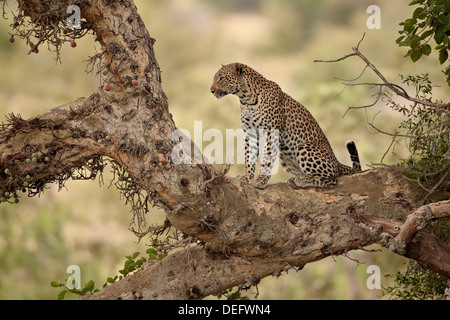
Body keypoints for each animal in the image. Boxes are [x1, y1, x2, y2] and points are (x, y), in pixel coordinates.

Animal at [211, 61, 362, 189]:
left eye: (221, 78)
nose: (211, 90)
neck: (246, 99)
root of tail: (337, 162)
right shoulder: (250, 132)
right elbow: (249, 156)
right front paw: (247, 177)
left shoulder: (271, 131)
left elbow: (267, 157)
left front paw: (261, 180)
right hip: (285, 156)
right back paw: (295, 178)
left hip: (304, 147)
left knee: (332, 179)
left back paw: (304, 180)